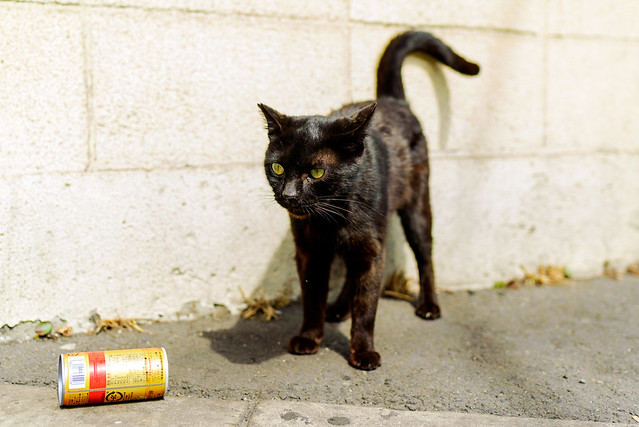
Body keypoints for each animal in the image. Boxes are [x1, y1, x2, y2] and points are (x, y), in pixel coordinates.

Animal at [260, 30, 480, 372]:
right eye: (278, 168)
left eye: (317, 172)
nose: (289, 195)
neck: (333, 217)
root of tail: (393, 100)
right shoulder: (309, 250)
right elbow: (311, 297)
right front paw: (309, 337)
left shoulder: (374, 248)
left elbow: (367, 306)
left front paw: (363, 352)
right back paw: (338, 308)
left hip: (416, 209)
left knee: (425, 256)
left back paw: (429, 305)